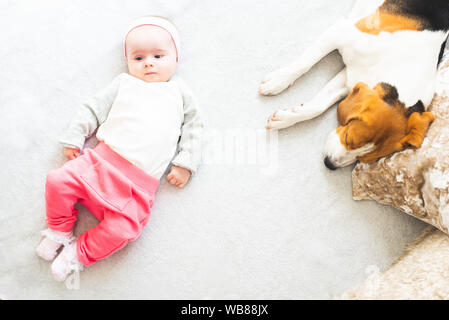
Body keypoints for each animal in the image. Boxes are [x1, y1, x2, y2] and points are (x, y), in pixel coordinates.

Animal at [260, 0, 448, 170]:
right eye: (348, 138)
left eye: (364, 159)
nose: (330, 164)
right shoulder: (341, 32)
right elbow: (303, 64)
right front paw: (277, 81)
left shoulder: (352, 77)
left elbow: (317, 107)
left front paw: (286, 118)